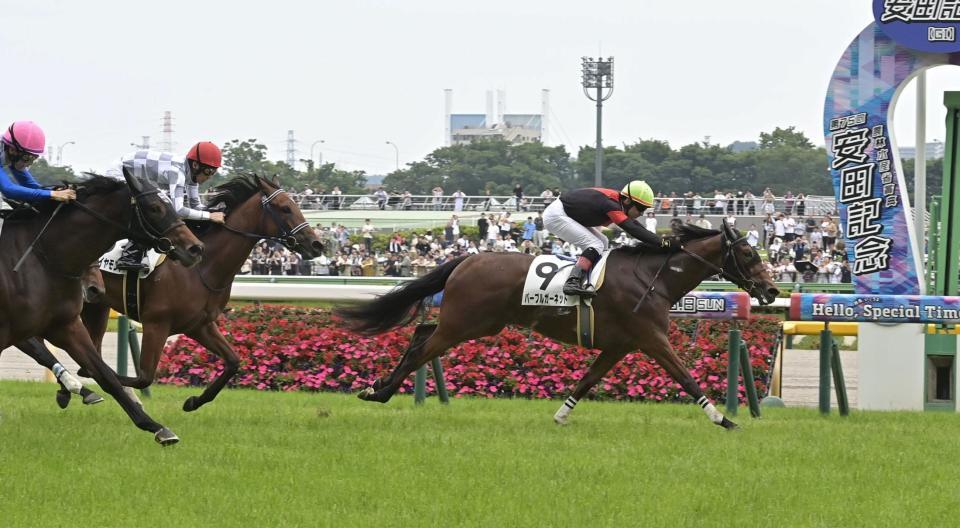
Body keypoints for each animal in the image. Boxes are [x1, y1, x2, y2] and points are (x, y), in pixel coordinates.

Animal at [0, 169, 204, 445]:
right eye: (154, 207)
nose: (195, 248)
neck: (41, 259)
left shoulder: (64, 325)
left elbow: (104, 374)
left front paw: (157, 427)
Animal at [78, 174, 324, 412]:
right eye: (285, 208)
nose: (317, 244)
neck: (202, 268)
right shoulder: (156, 323)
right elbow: (141, 377)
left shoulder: (199, 325)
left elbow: (233, 361)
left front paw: (193, 401)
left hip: (97, 305)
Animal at [335, 220, 779, 430]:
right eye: (747, 253)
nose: (772, 290)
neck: (653, 278)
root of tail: (466, 259)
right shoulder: (651, 338)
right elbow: (686, 377)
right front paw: (723, 419)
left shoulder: (620, 345)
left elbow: (587, 380)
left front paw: (561, 416)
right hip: (465, 323)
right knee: (424, 347)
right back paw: (379, 391)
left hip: (475, 323)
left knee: (420, 335)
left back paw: (379, 387)